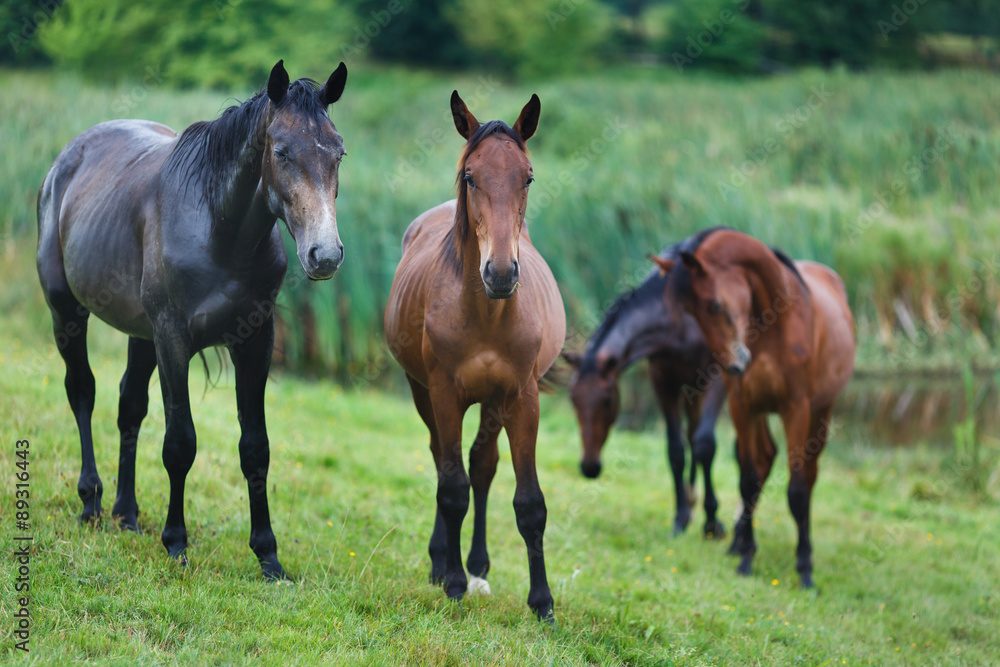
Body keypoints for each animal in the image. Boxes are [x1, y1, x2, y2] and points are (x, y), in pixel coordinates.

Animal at [36, 60, 348, 579]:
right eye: (281, 151)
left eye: (338, 152)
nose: (324, 255)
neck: (219, 228)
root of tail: (68, 156)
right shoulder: (173, 339)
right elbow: (180, 443)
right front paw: (176, 542)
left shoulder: (255, 342)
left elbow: (255, 447)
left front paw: (268, 555)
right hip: (68, 312)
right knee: (82, 392)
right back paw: (91, 502)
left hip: (140, 335)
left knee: (129, 407)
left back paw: (126, 513)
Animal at [384, 91, 565, 621]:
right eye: (470, 176)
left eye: (528, 176)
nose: (501, 273)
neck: (488, 315)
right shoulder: (444, 393)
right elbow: (451, 489)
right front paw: (453, 583)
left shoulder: (522, 398)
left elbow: (529, 503)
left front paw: (542, 602)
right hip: (423, 392)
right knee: (445, 463)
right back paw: (443, 562)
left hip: (493, 403)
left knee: (482, 466)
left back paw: (479, 565)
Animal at [563, 246, 727, 539]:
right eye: (573, 399)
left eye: (608, 400)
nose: (589, 467)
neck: (678, 321)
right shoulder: (663, 380)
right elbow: (676, 450)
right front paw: (681, 518)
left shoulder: (715, 376)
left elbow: (706, 444)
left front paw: (712, 522)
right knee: (690, 435)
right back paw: (691, 499)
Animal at [652, 227, 855, 588]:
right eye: (690, 313)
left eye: (714, 304)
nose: (732, 364)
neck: (778, 322)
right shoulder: (742, 406)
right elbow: (747, 480)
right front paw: (746, 560)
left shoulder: (796, 409)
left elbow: (797, 490)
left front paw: (805, 569)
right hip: (758, 411)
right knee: (763, 459)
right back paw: (738, 543)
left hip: (821, 411)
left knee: (809, 475)